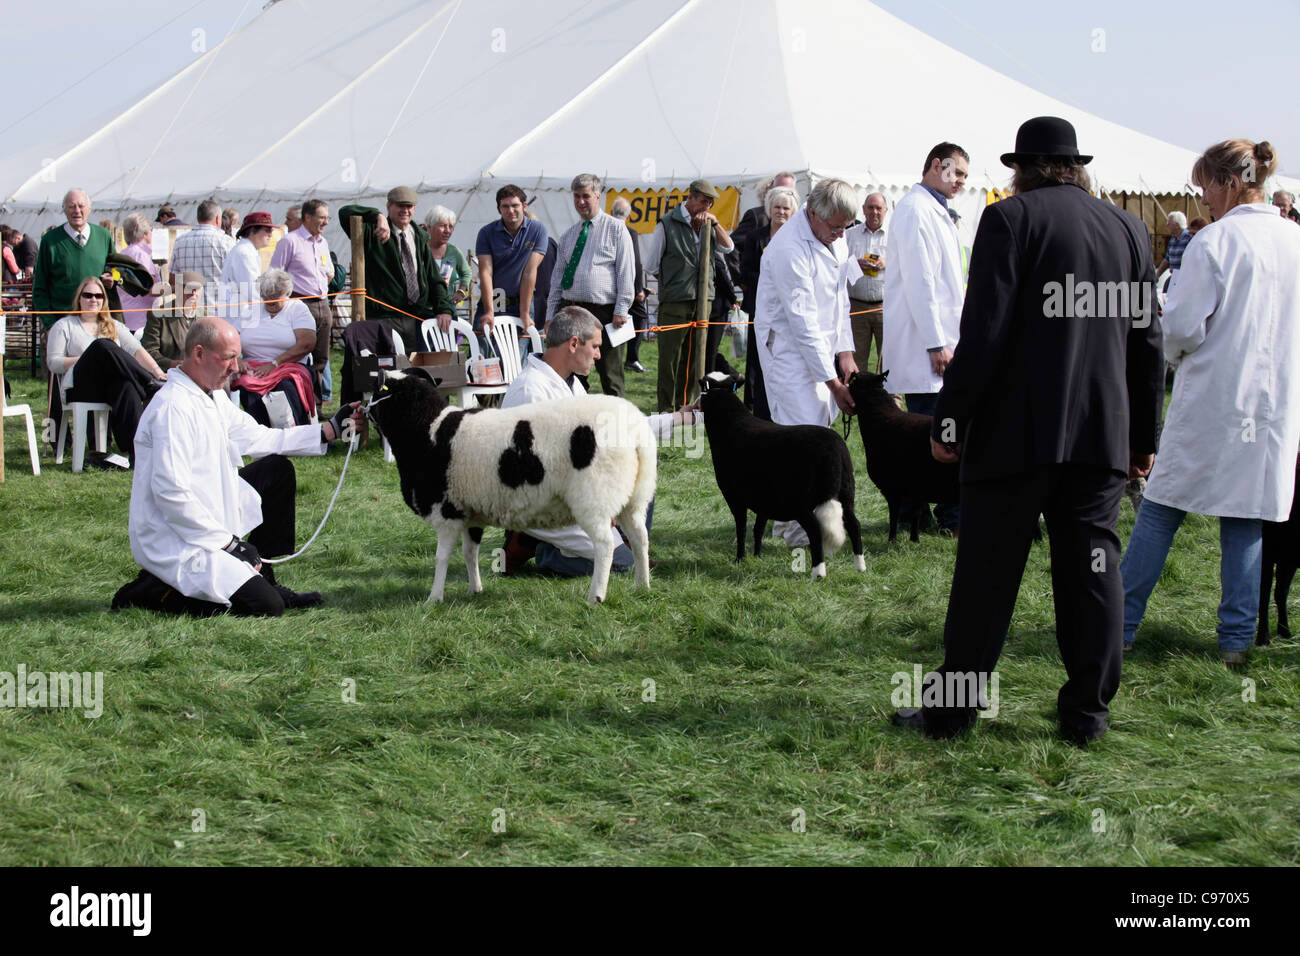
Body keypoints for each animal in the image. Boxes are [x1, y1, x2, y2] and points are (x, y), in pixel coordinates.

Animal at [366, 369, 655, 600]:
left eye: (378, 391)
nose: (364, 409)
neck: (426, 429)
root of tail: (637, 429)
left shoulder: (446, 511)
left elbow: (441, 557)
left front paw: (434, 598)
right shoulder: (470, 513)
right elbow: (469, 552)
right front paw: (474, 590)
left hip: (595, 498)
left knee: (605, 546)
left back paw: (596, 596)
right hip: (634, 498)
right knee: (640, 538)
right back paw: (642, 587)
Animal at [702, 374, 863, 580]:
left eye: (703, 386)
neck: (730, 421)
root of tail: (834, 449)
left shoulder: (734, 496)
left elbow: (741, 527)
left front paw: (740, 558)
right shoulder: (763, 499)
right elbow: (758, 528)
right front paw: (757, 556)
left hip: (802, 502)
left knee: (815, 530)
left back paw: (818, 572)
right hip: (846, 491)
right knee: (854, 524)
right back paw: (860, 566)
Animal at [847, 369, 961, 541]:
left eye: (853, 379)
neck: (880, 417)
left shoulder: (891, 487)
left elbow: (893, 516)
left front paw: (892, 540)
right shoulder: (916, 488)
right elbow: (916, 514)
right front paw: (914, 540)